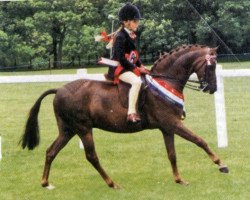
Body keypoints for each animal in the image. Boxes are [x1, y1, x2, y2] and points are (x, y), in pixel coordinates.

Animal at [21, 44, 229, 188]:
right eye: (211, 66)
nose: (212, 88)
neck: (165, 82)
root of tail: (59, 89)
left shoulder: (167, 128)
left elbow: (172, 154)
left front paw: (179, 179)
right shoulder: (173, 123)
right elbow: (200, 140)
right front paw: (221, 164)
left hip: (68, 130)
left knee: (51, 151)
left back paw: (45, 183)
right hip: (83, 128)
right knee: (91, 156)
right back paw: (112, 183)